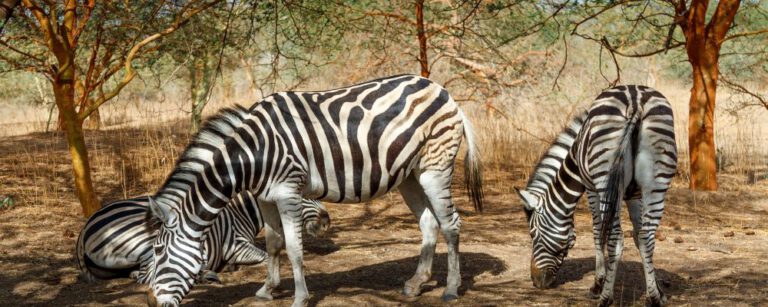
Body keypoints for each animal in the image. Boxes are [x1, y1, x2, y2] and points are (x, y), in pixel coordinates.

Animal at [75, 194, 330, 286]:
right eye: (304, 195)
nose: (327, 220)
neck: (240, 212)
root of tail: (85, 226)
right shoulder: (236, 246)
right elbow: (266, 255)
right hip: (146, 240)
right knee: (147, 276)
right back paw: (204, 275)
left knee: (136, 274)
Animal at [141, 75, 484, 307]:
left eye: (158, 252)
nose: (149, 301)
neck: (253, 154)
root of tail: (442, 90)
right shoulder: (265, 197)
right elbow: (273, 243)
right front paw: (268, 289)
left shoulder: (288, 191)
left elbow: (294, 248)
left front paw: (300, 298)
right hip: (410, 176)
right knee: (428, 223)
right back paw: (416, 283)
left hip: (435, 167)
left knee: (451, 224)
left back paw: (451, 289)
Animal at [516, 85, 680, 307]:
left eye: (533, 235)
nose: (536, 281)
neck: (575, 156)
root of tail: (635, 100)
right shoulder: (635, 195)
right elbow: (639, 236)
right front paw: (658, 291)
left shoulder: (591, 188)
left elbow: (597, 232)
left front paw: (598, 284)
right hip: (655, 183)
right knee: (648, 235)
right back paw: (653, 299)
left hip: (605, 178)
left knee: (616, 238)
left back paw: (605, 298)